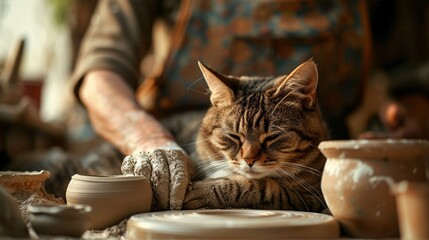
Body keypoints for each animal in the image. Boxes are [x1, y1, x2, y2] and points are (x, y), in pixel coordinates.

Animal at [181, 59, 328, 212]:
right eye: (233, 135)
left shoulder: (309, 196)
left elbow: (260, 187)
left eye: (272, 136)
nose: (249, 160)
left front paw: (204, 190)